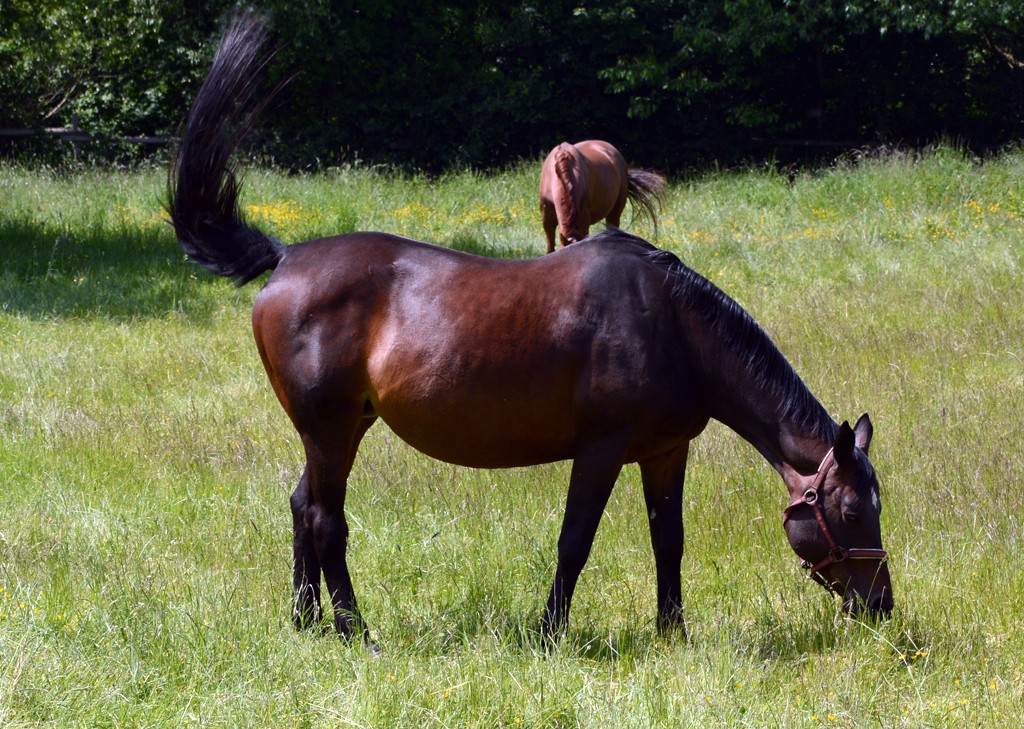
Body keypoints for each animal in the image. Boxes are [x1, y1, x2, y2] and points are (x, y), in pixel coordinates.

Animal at [165, 14, 888, 647]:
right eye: (854, 511)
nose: (880, 604)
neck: (673, 325)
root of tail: (285, 257)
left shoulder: (665, 451)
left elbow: (669, 538)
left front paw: (674, 631)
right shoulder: (600, 449)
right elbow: (575, 539)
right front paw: (550, 630)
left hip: (336, 429)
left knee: (301, 506)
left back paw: (305, 619)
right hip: (331, 428)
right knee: (324, 518)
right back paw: (354, 629)